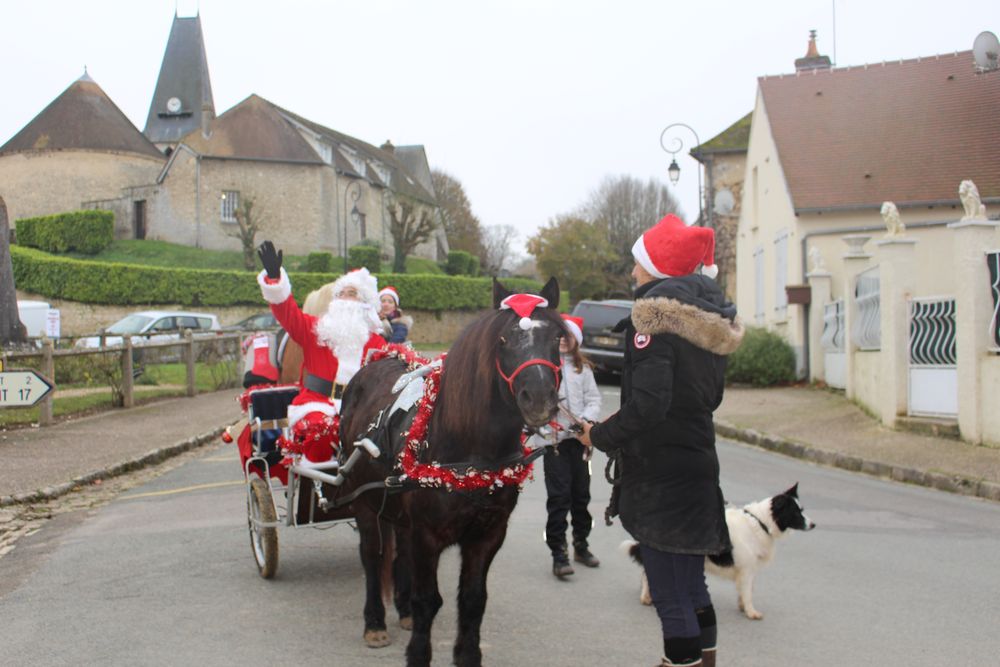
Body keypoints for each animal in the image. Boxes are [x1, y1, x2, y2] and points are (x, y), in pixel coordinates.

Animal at [340, 278, 568, 667]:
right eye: (503, 340)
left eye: (556, 337)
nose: (538, 397)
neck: (472, 454)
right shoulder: (427, 534)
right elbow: (428, 600)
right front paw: (418, 653)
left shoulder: (488, 534)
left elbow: (473, 600)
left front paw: (467, 655)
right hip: (365, 502)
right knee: (373, 556)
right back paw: (375, 622)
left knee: (399, 556)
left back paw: (401, 610)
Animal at [620, 486, 816, 620]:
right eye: (796, 512)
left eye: (802, 510)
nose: (814, 524)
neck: (761, 522)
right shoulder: (747, 569)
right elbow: (748, 592)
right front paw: (751, 611)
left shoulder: (748, 570)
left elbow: (746, 590)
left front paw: (742, 606)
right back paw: (647, 597)